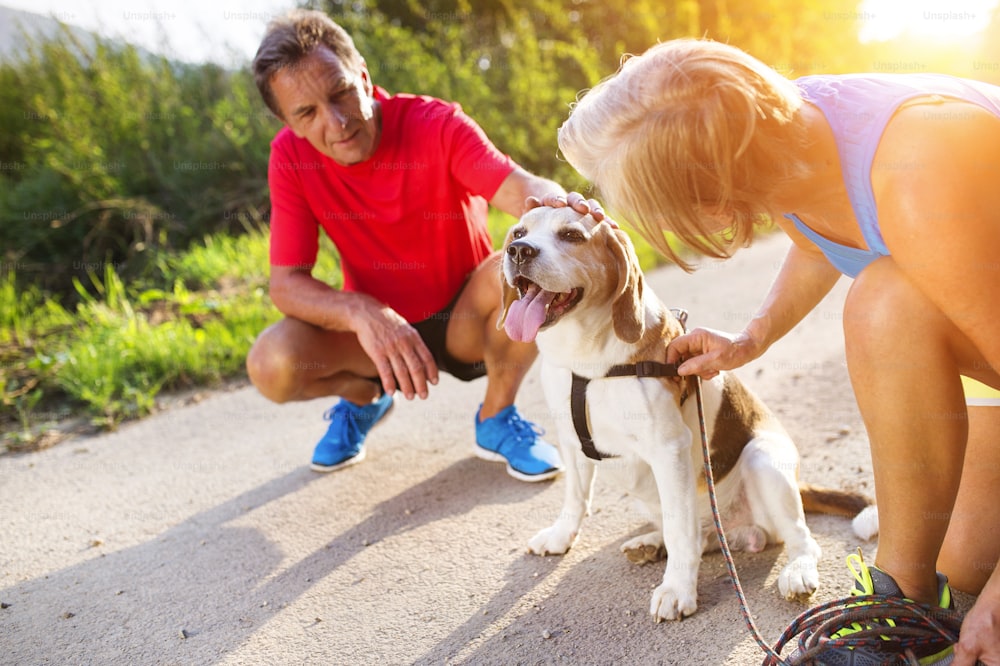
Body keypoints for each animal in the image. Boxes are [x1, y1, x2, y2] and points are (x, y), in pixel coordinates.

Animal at [496, 205, 872, 620]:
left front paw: (677, 589)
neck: (587, 359)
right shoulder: (570, 439)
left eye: (571, 236)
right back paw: (651, 543)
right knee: (699, 535)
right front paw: (561, 536)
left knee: (796, 538)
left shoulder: (668, 448)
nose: (519, 251)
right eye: (519, 232)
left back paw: (796, 571)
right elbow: (575, 500)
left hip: (763, 460)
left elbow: (680, 531)